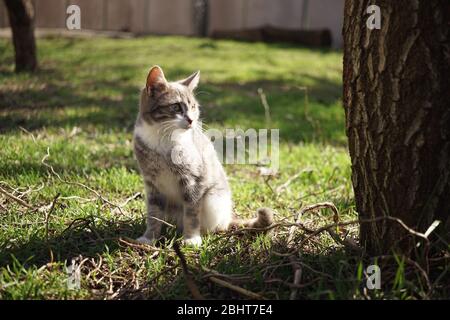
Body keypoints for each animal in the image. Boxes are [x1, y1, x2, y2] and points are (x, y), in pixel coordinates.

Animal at [134, 64, 272, 245]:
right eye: (176, 106)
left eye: (193, 107)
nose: (191, 120)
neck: (162, 138)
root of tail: (227, 218)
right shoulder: (152, 185)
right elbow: (153, 214)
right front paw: (149, 238)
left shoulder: (193, 181)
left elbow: (192, 214)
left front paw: (191, 239)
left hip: (214, 201)